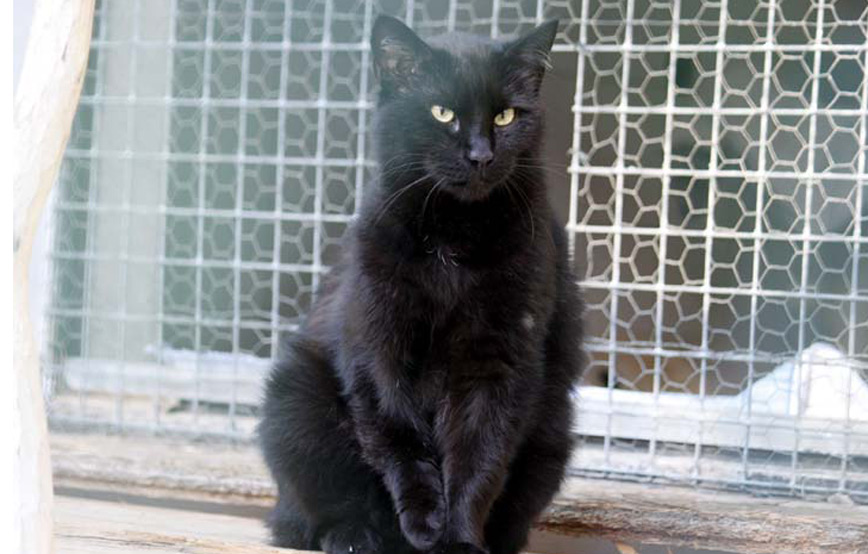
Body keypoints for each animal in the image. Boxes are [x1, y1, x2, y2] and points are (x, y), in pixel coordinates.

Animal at [258, 16, 584, 552]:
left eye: (505, 116)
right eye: (441, 111)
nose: (480, 155)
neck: (453, 238)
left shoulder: (497, 360)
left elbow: (478, 457)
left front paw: (458, 539)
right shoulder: (378, 346)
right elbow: (399, 437)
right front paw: (424, 524)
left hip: (553, 427)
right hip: (294, 402)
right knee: (310, 513)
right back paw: (357, 535)